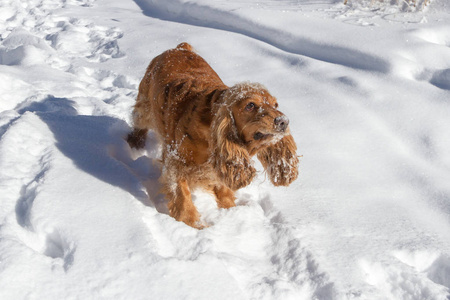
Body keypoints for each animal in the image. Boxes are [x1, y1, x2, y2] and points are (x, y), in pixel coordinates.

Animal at [126, 42, 298, 227]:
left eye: (275, 104)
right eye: (250, 105)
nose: (283, 121)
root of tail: (179, 48)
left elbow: (224, 191)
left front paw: (232, 213)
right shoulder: (176, 164)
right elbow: (182, 196)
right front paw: (194, 225)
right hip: (145, 106)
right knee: (140, 124)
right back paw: (135, 143)